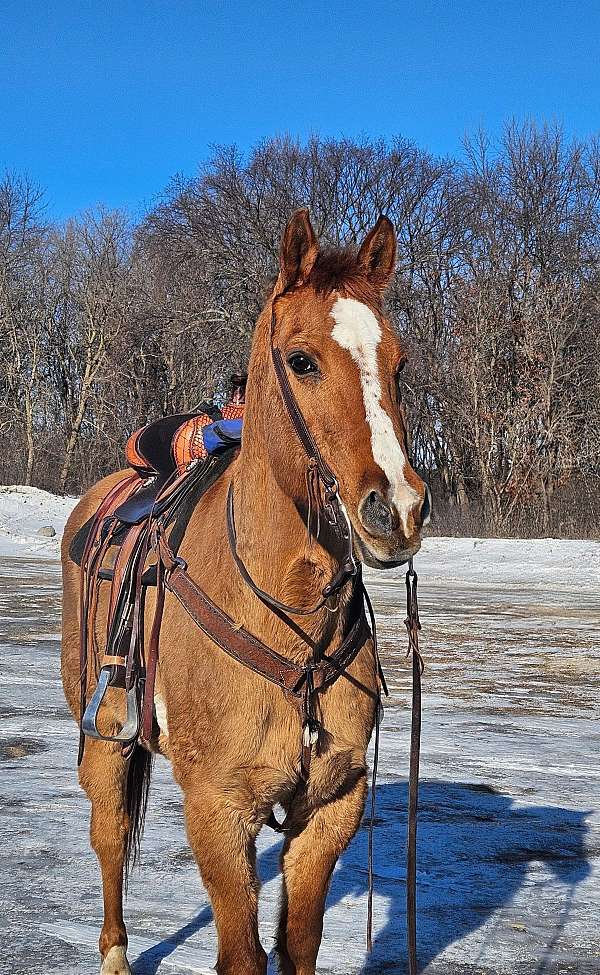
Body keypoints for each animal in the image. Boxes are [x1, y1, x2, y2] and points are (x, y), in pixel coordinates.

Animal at [61, 209, 429, 975]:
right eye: (301, 360)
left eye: (400, 364)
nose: (399, 510)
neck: (293, 619)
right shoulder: (218, 808)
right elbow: (242, 952)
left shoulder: (331, 806)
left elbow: (299, 943)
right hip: (105, 734)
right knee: (108, 837)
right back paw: (114, 952)